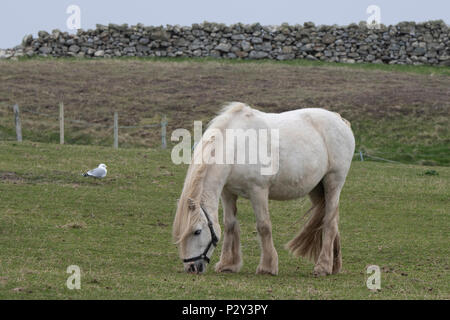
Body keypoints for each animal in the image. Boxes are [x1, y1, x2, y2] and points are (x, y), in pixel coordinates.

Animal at [172, 102, 356, 276]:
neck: (237, 146)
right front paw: (228, 264)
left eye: (197, 232)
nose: (191, 267)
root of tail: (340, 120)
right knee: (330, 219)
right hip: (317, 189)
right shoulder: (227, 192)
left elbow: (263, 226)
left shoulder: (258, 191)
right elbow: (230, 225)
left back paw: (323, 266)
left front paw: (267, 267)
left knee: (329, 222)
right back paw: (334, 265)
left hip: (333, 183)